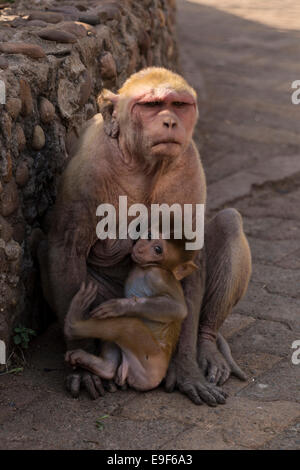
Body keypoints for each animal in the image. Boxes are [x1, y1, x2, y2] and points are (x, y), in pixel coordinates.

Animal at [63, 235, 197, 392]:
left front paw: (120, 306)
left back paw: (72, 322)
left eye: (158, 250)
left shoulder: (157, 276)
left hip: (149, 355)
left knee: (129, 325)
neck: (147, 267)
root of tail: (157, 378)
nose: (140, 249)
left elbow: (179, 308)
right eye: (149, 236)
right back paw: (105, 367)